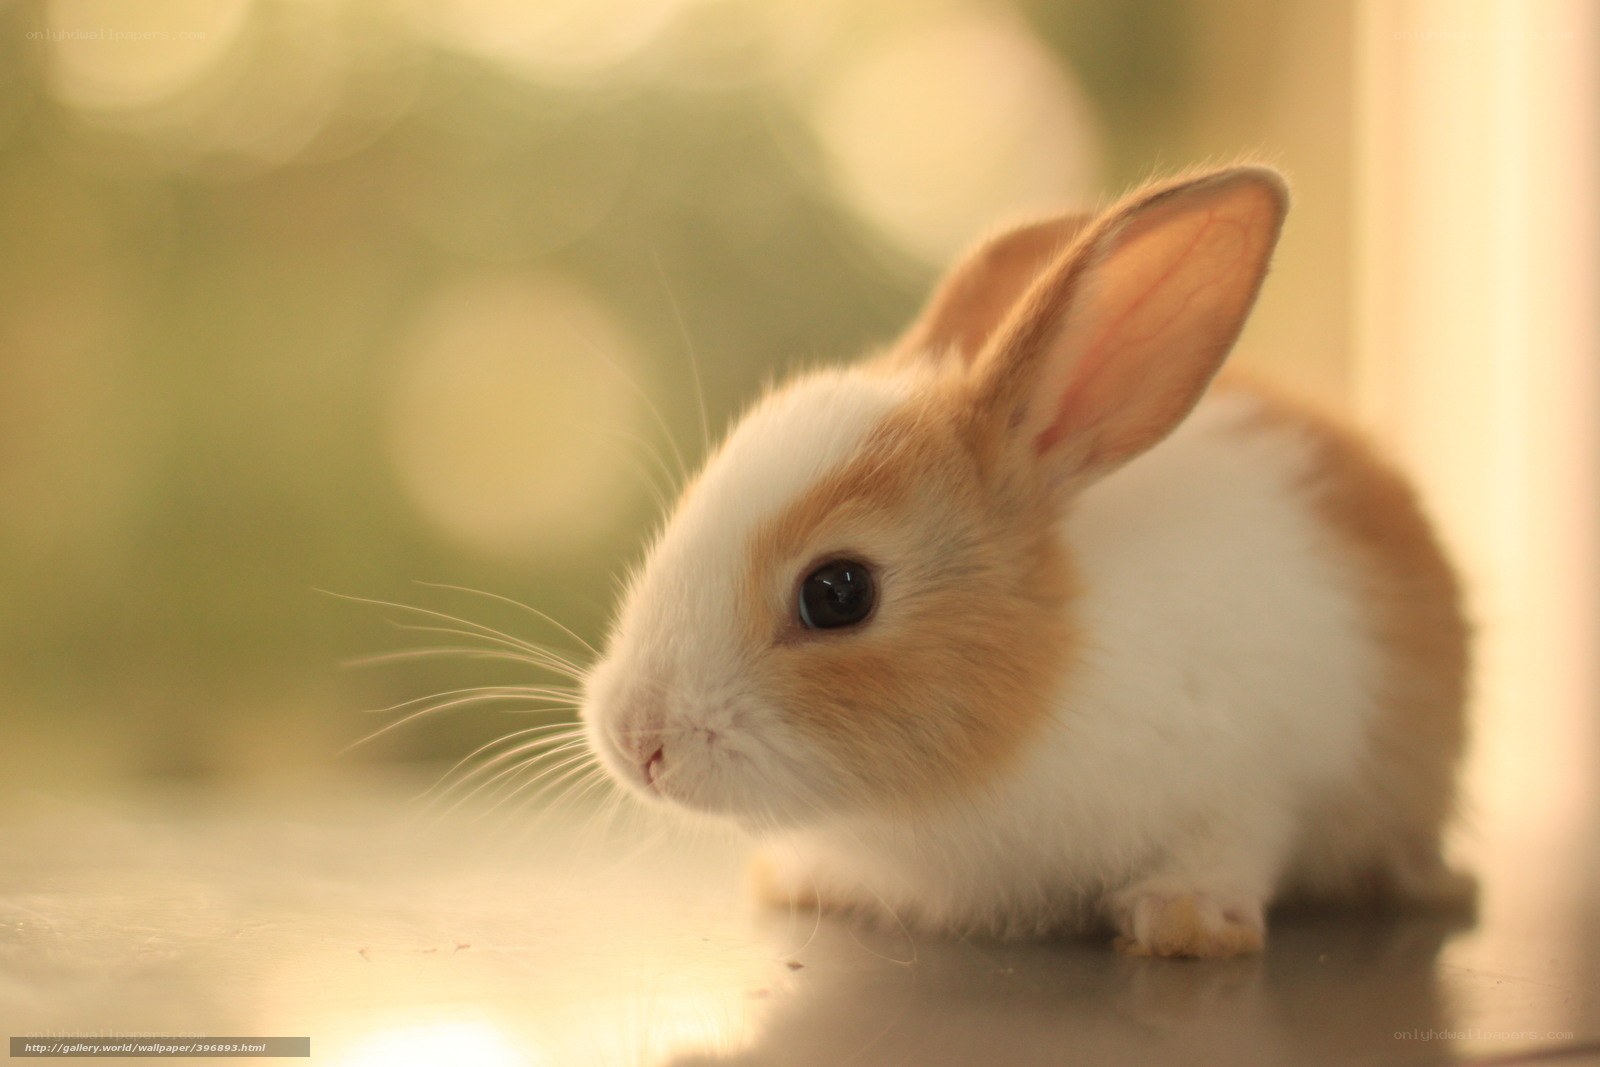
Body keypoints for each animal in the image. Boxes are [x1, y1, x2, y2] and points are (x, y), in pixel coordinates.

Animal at [579, 165, 1473, 957]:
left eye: (838, 592)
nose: (637, 739)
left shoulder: (1254, 779)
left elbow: (1229, 844)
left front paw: (1184, 922)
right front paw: (802, 879)